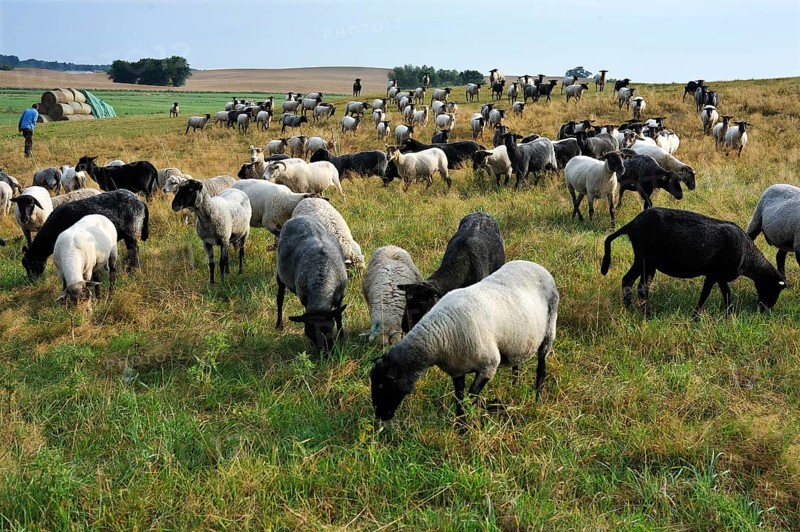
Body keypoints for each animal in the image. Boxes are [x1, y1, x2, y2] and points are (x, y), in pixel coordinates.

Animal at [275, 215, 348, 353]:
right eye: (309, 333)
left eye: (329, 330)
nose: (326, 353)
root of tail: (298, 217)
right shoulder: (304, 298)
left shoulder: (340, 296)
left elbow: (338, 315)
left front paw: (342, 337)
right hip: (280, 274)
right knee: (279, 298)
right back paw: (279, 325)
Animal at [371, 260, 558, 423]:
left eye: (383, 385)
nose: (380, 415)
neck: (439, 337)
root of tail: (534, 264)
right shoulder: (457, 370)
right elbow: (460, 400)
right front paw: (461, 426)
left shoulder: (489, 366)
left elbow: (471, 398)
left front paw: (485, 412)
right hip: (518, 338)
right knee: (516, 363)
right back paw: (514, 385)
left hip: (549, 330)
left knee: (541, 368)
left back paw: (537, 398)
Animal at [601, 207, 786, 313]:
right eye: (774, 289)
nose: (766, 309)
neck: (748, 258)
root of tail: (632, 224)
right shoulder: (714, 273)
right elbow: (707, 294)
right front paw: (696, 316)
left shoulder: (719, 276)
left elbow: (726, 294)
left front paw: (728, 313)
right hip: (644, 258)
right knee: (631, 282)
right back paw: (637, 311)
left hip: (648, 262)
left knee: (638, 285)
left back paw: (638, 310)